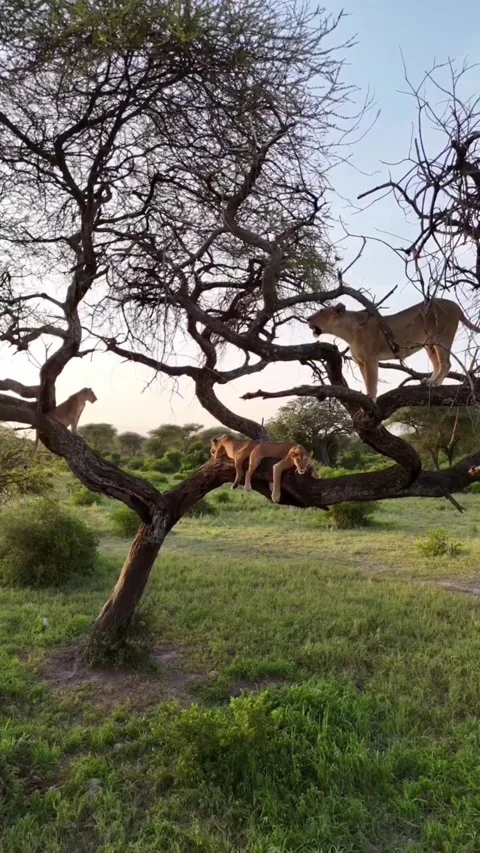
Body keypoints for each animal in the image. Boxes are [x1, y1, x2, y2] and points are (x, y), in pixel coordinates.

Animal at [307, 298, 480, 401]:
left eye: (321, 311)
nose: (308, 319)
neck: (347, 332)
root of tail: (456, 305)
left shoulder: (371, 359)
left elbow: (372, 381)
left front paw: (371, 398)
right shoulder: (361, 362)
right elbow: (365, 380)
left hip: (441, 336)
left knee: (446, 363)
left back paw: (435, 383)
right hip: (429, 344)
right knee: (437, 363)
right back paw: (429, 381)